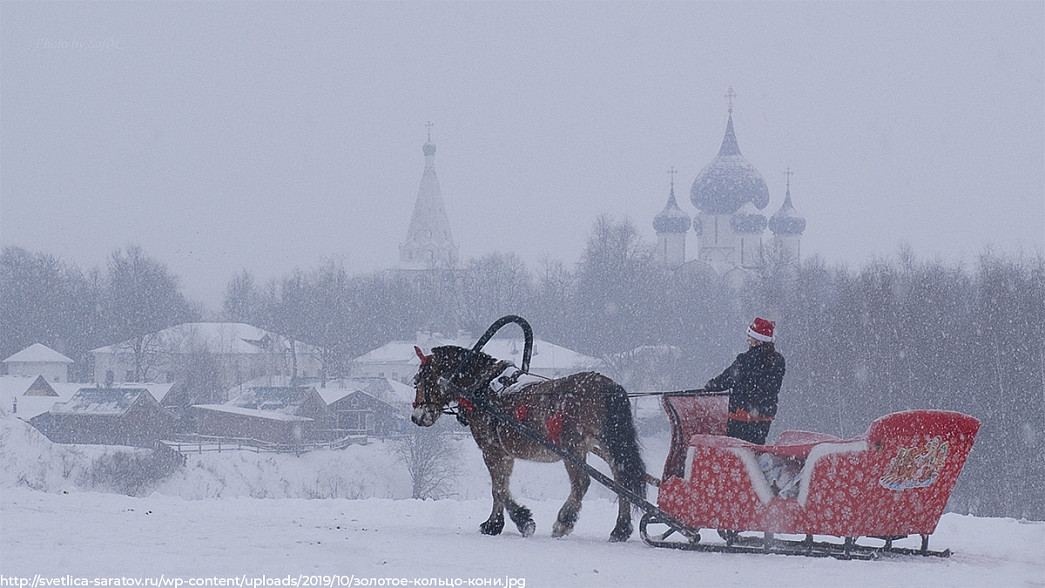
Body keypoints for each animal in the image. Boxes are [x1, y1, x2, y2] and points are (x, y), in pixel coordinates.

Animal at [407, 344, 643, 543]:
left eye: (418, 379)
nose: (416, 417)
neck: (483, 388)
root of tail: (609, 386)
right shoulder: (504, 453)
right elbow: (499, 487)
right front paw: (494, 524)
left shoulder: (491, 450)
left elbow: (499, 488)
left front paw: (522, 520)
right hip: (607, 445)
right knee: (622, 479)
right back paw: (620, 529)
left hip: (573, 448)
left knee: (582, 483)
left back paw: (564, 521)